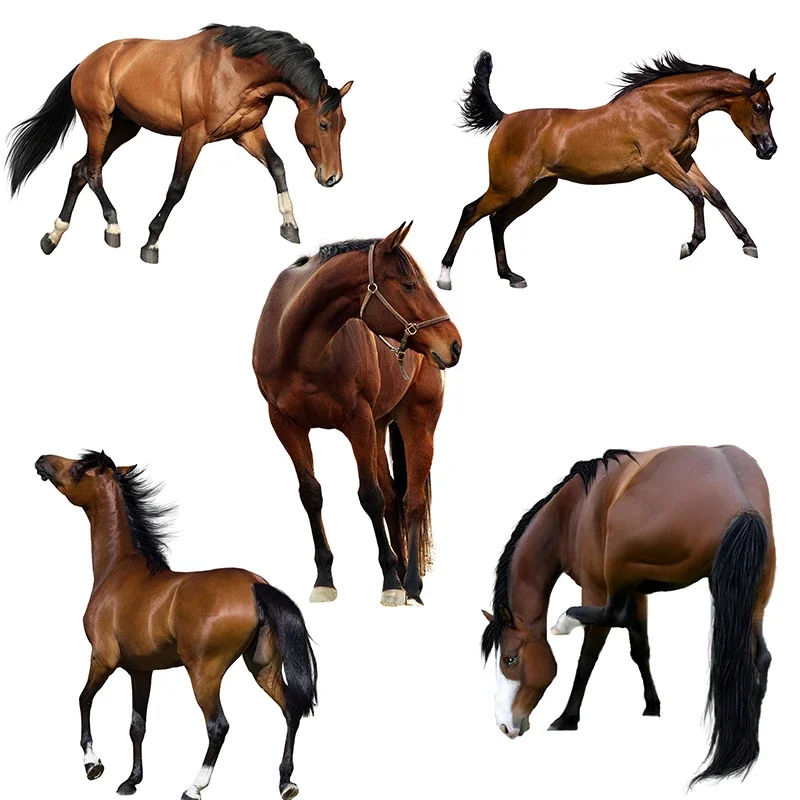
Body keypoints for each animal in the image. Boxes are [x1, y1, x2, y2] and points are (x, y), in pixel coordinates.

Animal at [7, 25, 352, 263]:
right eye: (323, 124)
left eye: (343, 125)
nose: (332, 178)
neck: (235, 70)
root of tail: (86, 62)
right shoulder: (193, 135)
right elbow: (176, 188)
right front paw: (151, 244)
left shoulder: (248, 131)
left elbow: (277, 166)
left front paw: (290, 224)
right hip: (99, 124)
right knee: (92, 173)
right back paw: (112, 228)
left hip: (123, 129)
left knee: (79, 170)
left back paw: (53, 236)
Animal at [35, 450, 317, 800]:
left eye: (77, 468)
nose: (42, 460)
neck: (118, 570)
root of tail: (256, 585)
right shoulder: (140, 671)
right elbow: (137, 726)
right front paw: (131, 781)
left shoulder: (102, 659)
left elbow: (83, 700)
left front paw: (93, 764)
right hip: (262, 667)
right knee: (290, 709)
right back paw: (285, 782)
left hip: (204, 674)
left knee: (218, 726)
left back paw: (193, 787)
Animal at [253, 223, 462, 606]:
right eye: (409, 285)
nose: (454, 344)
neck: (300, 347)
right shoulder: (286, 425)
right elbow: (312, 495)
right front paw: (324, 579)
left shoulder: (357, 423)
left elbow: (371, 497)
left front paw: (390, 583)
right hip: (379, 429)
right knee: (394, 497)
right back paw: (404, 573)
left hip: (418, 423)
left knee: (411, 501)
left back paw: (410, 584)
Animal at [439, 52, 777, 290]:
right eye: (759, 107)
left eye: (771, 108)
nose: (769, 150)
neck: (667, 105)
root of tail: (504, 118)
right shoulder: (659, 161)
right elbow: (696, 195)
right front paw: (688, 246)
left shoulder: (684, 160)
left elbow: (716, 195)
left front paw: (749, 243)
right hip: (508, 186)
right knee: (471, 212)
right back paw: (445, 276)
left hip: (537, 188)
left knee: (498, 220)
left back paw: (510, 276)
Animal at [481, 446, 775, 786]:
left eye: (510, 659)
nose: (505, 725)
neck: (571, 512)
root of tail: (741, 504)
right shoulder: (640, 590)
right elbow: (640, 650)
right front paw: (652, 705)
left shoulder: (598, 588)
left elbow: (588, 656)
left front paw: (568, 717)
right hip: (752, 599)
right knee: (760, 657)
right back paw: (748, 743)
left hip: (619, 564)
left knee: (614, 614)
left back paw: (565, 622)